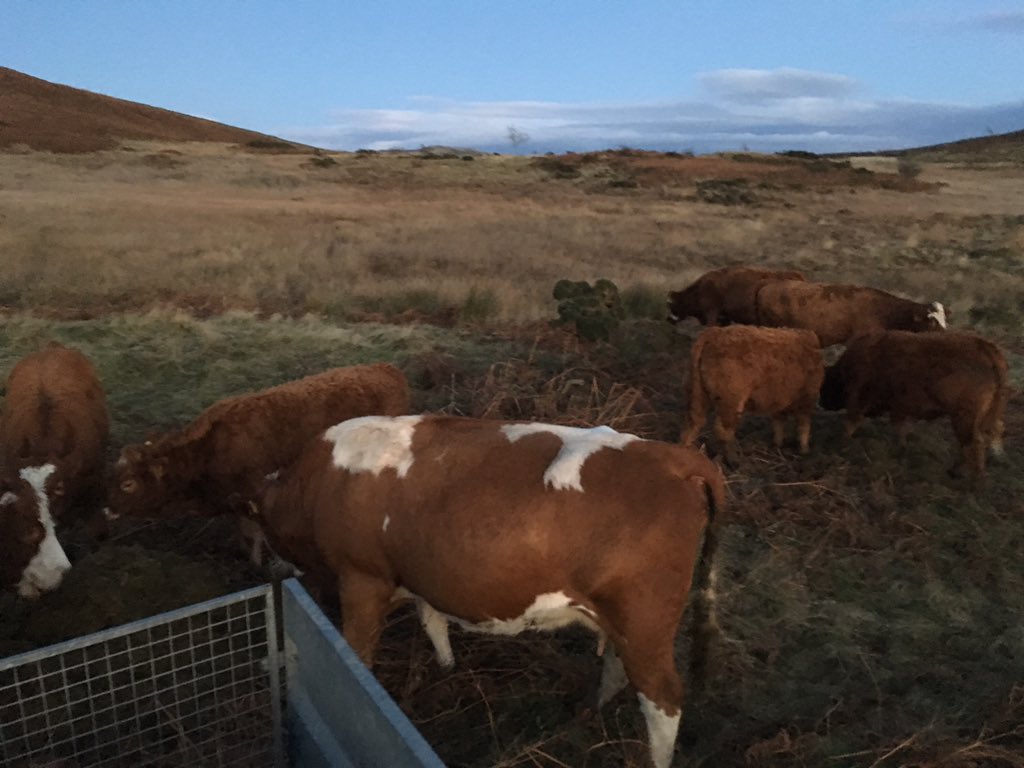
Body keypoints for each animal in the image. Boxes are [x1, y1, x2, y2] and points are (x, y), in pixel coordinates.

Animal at [105, 363, 410, 566]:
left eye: (128, 483)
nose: (106, 509)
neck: (210, 448)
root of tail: (386, 368)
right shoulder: (237, 501)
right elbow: (244, 532)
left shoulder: (256, 495)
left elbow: (257, 534)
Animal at [257, 414, 726, 768]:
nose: (267, 567)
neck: (319, 481)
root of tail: (675, 456)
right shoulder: (425, 576)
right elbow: (433, 621)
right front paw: (447, 667)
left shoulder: (361, 579)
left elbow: (357, 652)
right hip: (623, 620)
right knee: (616, 667)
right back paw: (587, 715)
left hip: (644, 621)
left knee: (663, 697)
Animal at [680, 325, 824, 464]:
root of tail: (712, 334)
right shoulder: (807, 398)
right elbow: (804, 425)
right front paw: (805, 450)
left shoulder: (779, 399)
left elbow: (779, 421)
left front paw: (778, 444)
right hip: (731, 400)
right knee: (723, 430)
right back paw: (735, 460)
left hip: (697, 393)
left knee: (693, 423)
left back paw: (685, 452)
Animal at [819, 330, 1008, 482]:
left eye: (825, 385)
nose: (822, 403)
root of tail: (986, 348)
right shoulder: (899, 408)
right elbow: (900, 428)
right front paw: (901, 449)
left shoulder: (858, 399)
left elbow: (851, 423)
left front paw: (840, 444)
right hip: (984, 415)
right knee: (989, 433)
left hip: (963, 418)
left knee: (973, 444)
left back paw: (972, 482)